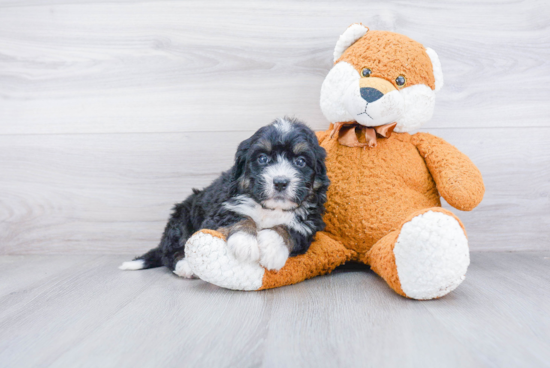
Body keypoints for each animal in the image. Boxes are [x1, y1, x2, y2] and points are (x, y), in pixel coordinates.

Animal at [119, 118, 332, 276]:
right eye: (263, 158)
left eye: (301, 161)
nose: (280, 182)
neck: (269, 208)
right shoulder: (221, 209)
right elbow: (241, 217)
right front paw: (245, 243)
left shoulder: (310, 222)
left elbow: (289, 228)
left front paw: (271, 247)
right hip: (182, 217)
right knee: (170, 252)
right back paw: (186, 266)